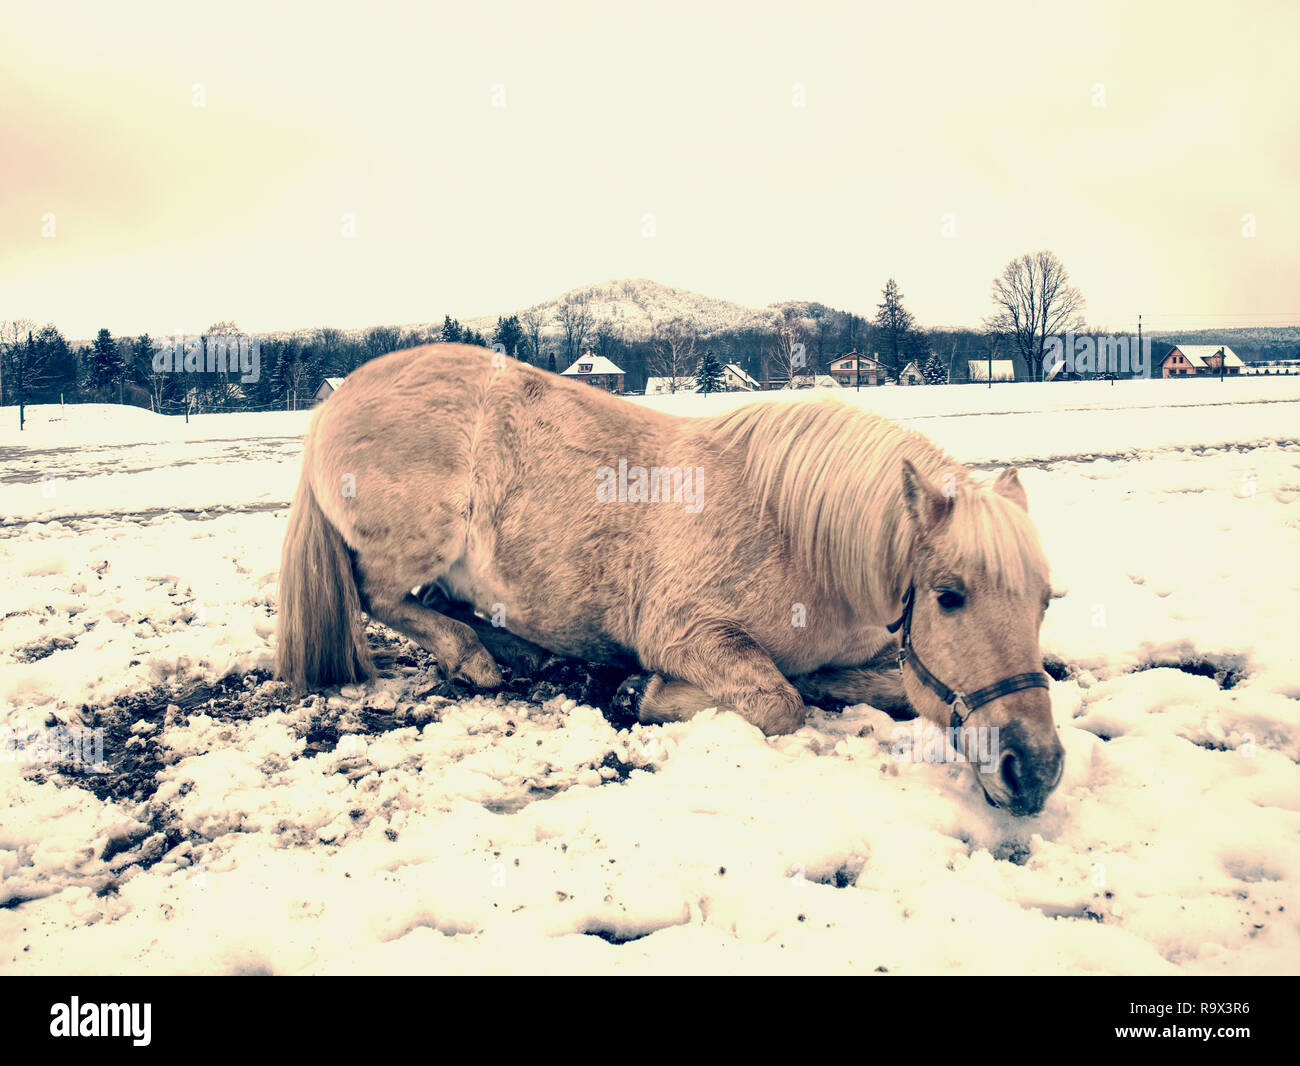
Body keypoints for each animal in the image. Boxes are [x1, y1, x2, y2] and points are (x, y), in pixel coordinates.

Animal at [276, 345, 1066, 811]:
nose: (1035, 769)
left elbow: (872, 686)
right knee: (383, 595)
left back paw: (517, 651)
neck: (794, 533)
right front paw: (643, 691)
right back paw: (475, 659)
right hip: (419, 542)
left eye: (1043, 604)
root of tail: (340, 396)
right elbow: (777, 701)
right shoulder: (686, 631)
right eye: (950, 597)